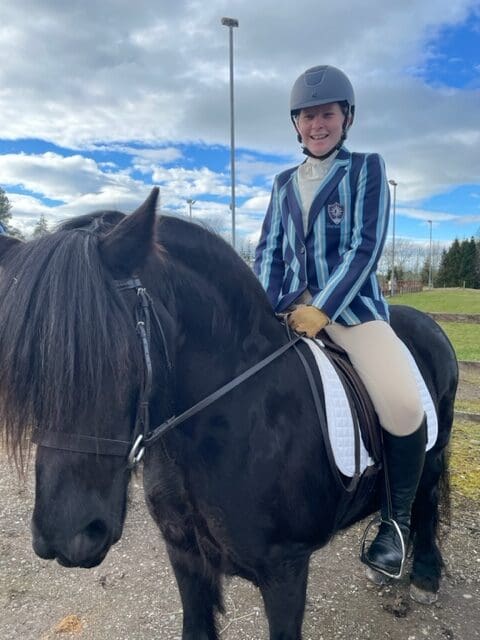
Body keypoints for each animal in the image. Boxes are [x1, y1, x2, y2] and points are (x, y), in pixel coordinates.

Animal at [0, 191, 458, 640]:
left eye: (119, 357)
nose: (67, 537)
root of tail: (425, 321)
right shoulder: (184, 554)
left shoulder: (286, 572)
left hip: (433, 449)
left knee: (426, 497)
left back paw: (420, 571)